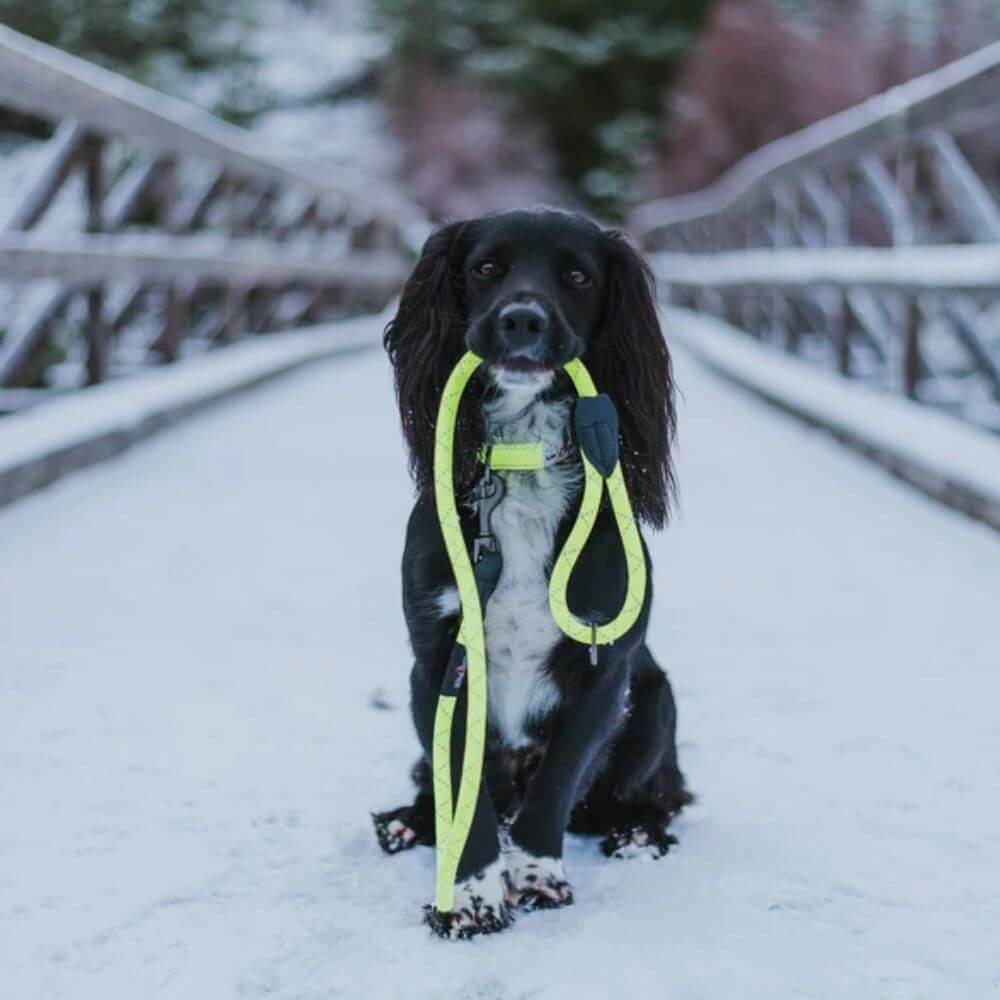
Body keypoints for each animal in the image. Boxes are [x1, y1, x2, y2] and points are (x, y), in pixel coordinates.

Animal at [372, 205, 692, 936]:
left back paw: (638, 833)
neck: (521, 458)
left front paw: (537, 872)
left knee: (657, 797)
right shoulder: (438, 664)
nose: (523, 320)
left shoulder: (606, 669)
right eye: (486, 267)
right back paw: (408, 823)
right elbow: (463, 792)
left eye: (577, 276)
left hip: (656, 701)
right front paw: (471, 894)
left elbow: (558, 782)